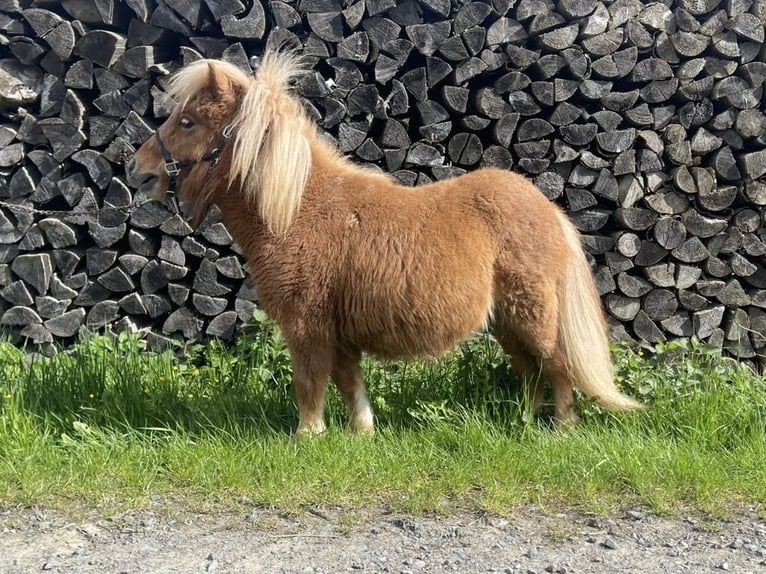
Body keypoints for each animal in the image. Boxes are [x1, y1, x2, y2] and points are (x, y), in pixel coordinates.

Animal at [126, 47, 642, 436]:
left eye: (188, 122)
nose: (139, 169)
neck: (296, 211)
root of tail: (550, 211)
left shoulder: (306, 328)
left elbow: (310, 385)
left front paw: (307, 437)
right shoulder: (339, 335)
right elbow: (350, 386)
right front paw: (363, 434)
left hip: (532, 315)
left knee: (556, 366)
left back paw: (563, 429)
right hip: (505, 322)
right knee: (531, 371)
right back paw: (525, 423)